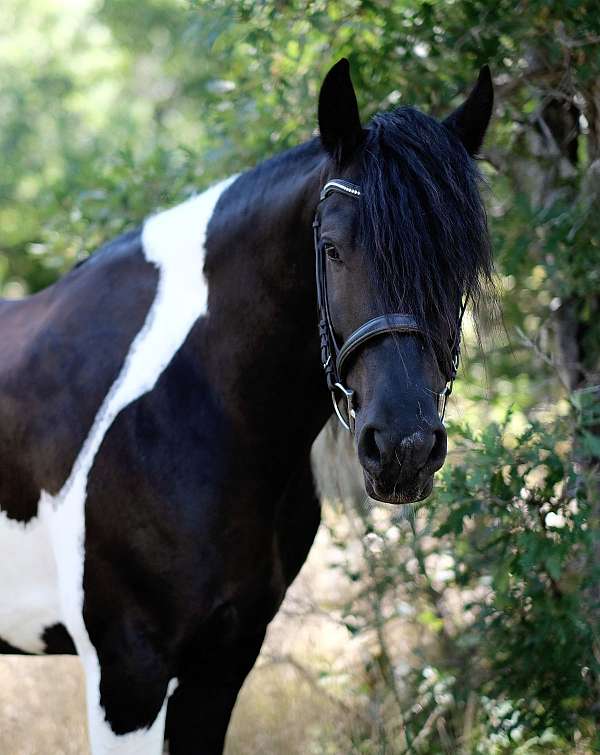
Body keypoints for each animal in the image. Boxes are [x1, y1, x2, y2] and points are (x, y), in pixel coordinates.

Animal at [0, 60, 492, 755]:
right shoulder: (127, 672)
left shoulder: (222, 661)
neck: (199, 407)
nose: (405, 447)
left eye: (457, 263)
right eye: (333, 247)